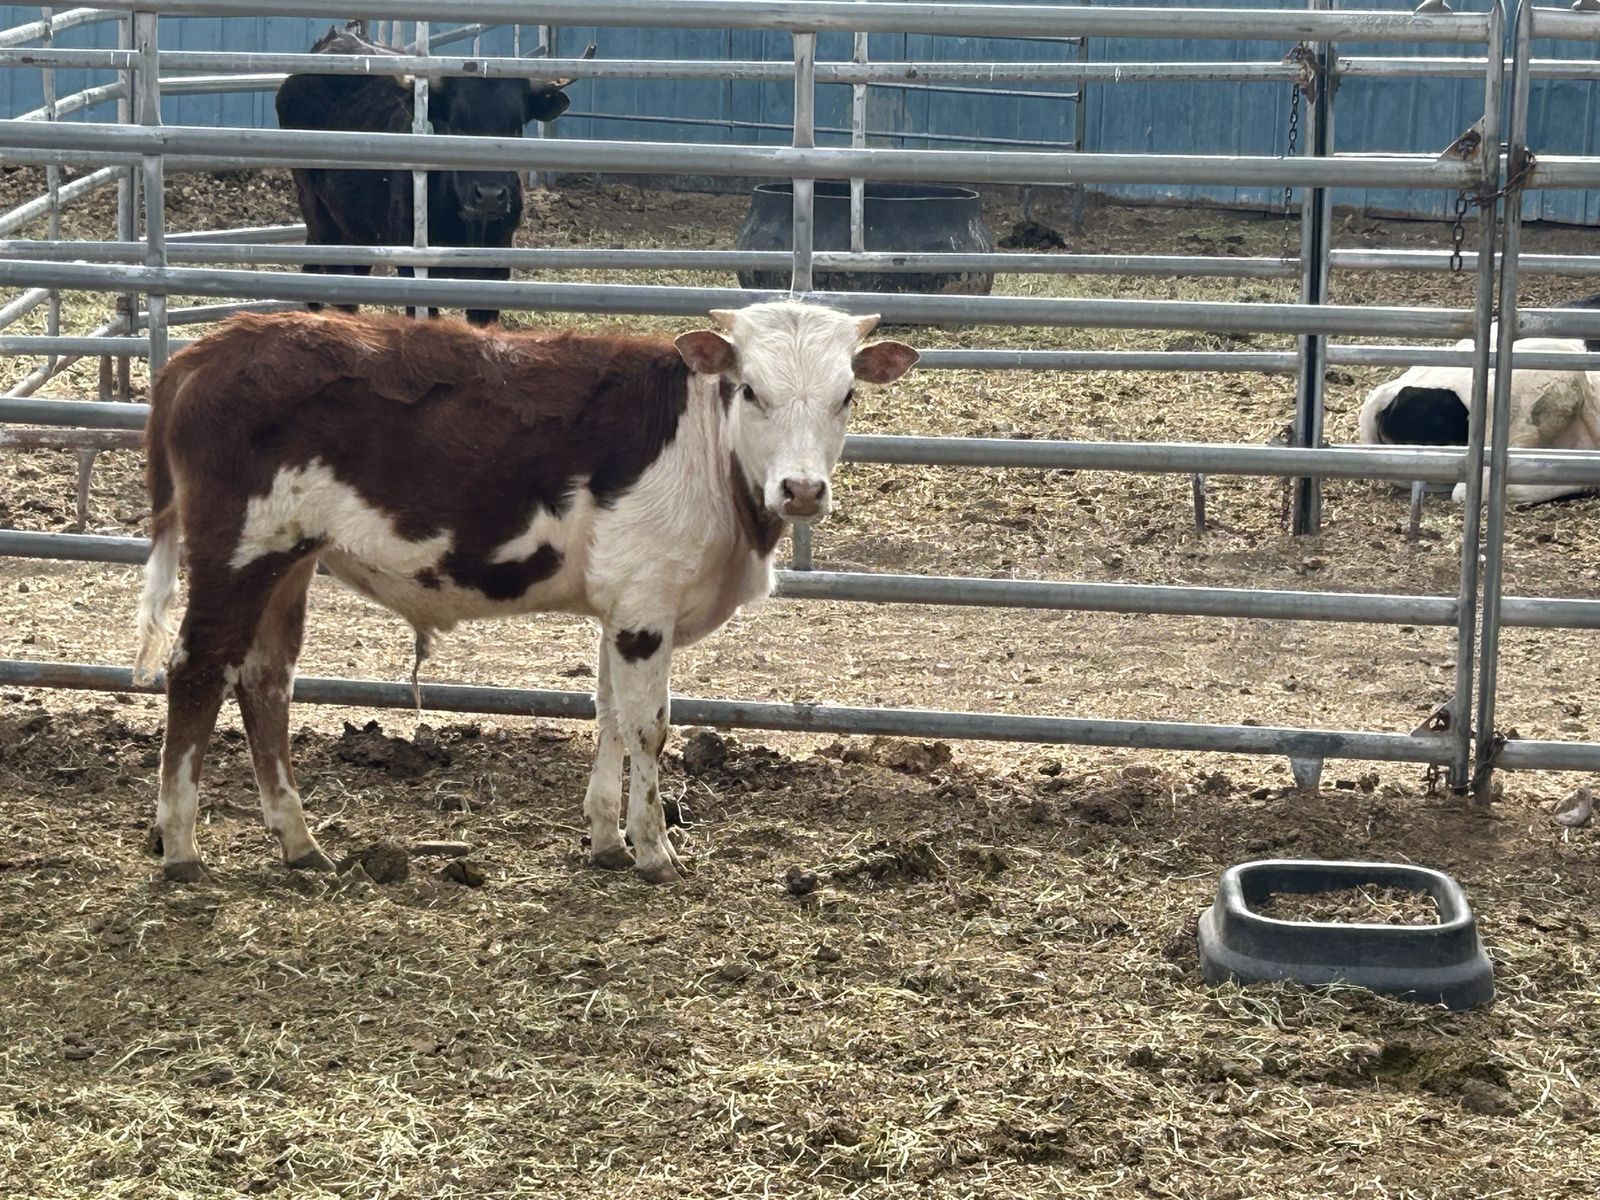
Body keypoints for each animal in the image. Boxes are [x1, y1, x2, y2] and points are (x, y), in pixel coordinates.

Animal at [131, 302, 919, 885]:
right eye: (751, 388)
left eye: (846, 395)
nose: (802, 489)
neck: (707, 447)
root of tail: (209, 350)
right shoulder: (646, 608)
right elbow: (649, 726)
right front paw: (654, 850)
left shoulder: (621, 608)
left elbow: (607, 714)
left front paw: (606, 841)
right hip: (239, 555)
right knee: (197, 671)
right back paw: (182, 849)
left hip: (288, 564)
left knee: (265, 682)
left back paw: (299, 843)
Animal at [274, 23, 582, 327]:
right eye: (456, 125)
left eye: (516, 125)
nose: (490, 196)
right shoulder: (413, 268)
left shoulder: (496, 270)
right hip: (318, 214)